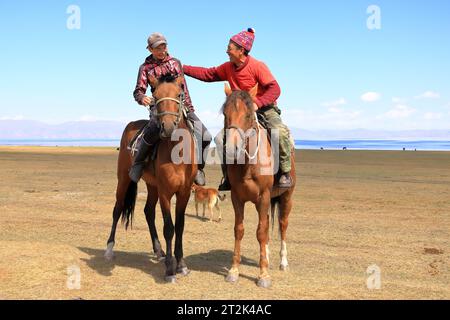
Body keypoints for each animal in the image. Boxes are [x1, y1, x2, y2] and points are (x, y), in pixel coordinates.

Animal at [106, 74, 198, 282]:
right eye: (154, 96)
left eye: (179, 94)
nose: (168, 127)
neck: (177, 152)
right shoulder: (165, 192)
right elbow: (169, 228)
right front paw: (170, 270)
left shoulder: (184, 192)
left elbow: (180, 226)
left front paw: (181, 264)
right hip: (124, 179)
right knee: (117, 209)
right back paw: (109, 249)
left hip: (152, 185)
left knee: (148, 211)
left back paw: (159, 251)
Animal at [221, 85, 296, 288]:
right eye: (225, 113)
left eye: (248, 115)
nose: (232, 149)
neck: (248, 164)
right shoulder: (237, 198)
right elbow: (239, 230)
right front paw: (234, 271)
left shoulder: (263, 196)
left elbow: (261, 232)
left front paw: (263, 275)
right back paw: (268, 258)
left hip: (286, 197)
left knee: (282, 225)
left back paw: (283, 262)